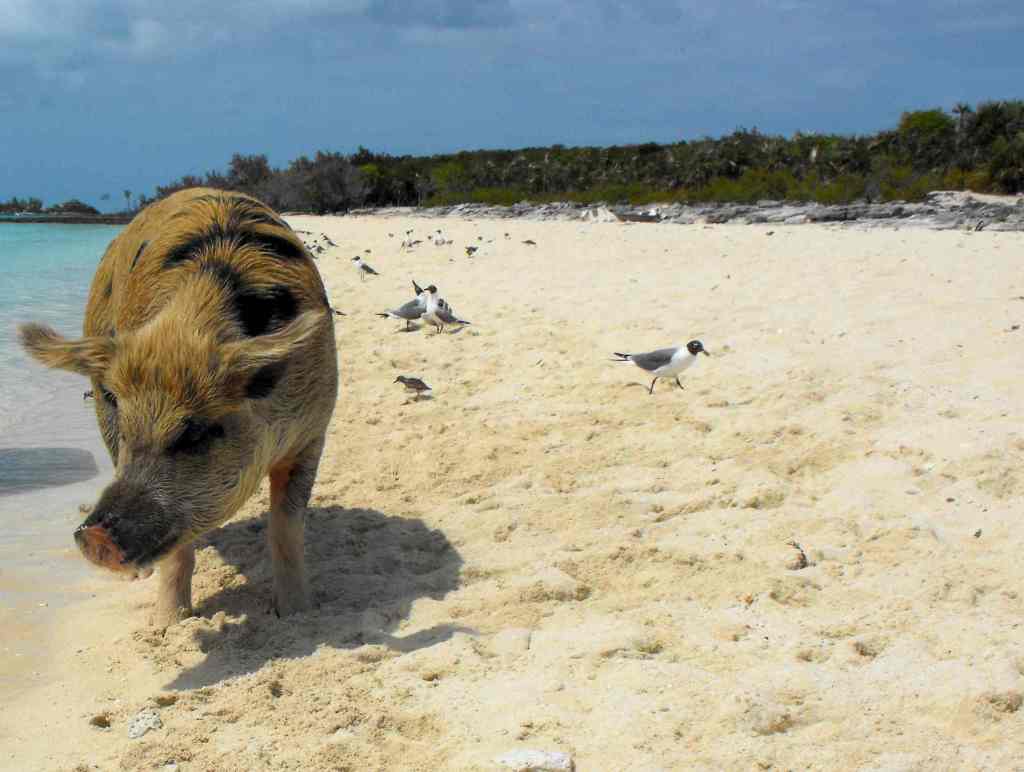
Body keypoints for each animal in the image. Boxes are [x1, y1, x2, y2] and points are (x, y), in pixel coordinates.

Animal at [18, 188, 338, 628]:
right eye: (129, 428)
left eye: (195, 434)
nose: (92, 536)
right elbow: (179, 551)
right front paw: (170, 623)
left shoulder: (312, 432)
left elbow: (286, 528)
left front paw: (296, 614)